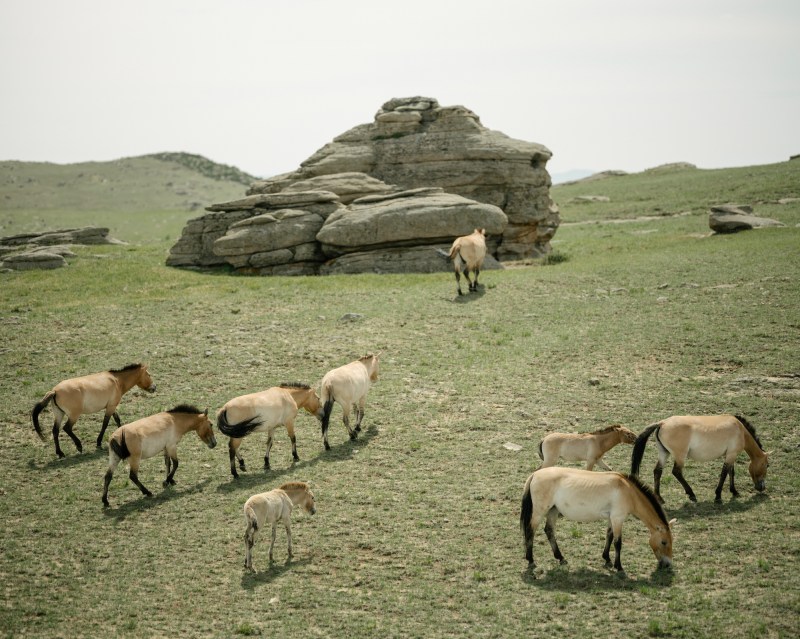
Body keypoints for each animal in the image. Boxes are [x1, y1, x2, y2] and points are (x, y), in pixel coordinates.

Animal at [521, 467, 674, 573]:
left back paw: (561, 558)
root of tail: (534, 475)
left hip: (553, 511)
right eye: (664, 542)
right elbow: (618, 543)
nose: (668, 564)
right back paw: (530, 559)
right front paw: (619, 566)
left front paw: (607, 558)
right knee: (530, 531)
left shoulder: (611, 518)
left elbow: (609, 536)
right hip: (540, 512)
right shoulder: (618, 518)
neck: (628, 490)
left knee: (549, 531)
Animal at [630, 414, 769, 504]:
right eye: (767, 465)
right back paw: (691, 494)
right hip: (680, 456)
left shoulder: (730, 455)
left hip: (664, 453)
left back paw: (660, 498)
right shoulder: (731, 455)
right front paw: (718, 496)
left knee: (657, 471)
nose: (762, 488)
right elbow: (724, 473)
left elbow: (731, 472)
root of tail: (662, 423)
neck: (740, 429)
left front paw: (734, 492)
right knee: (676, 472)